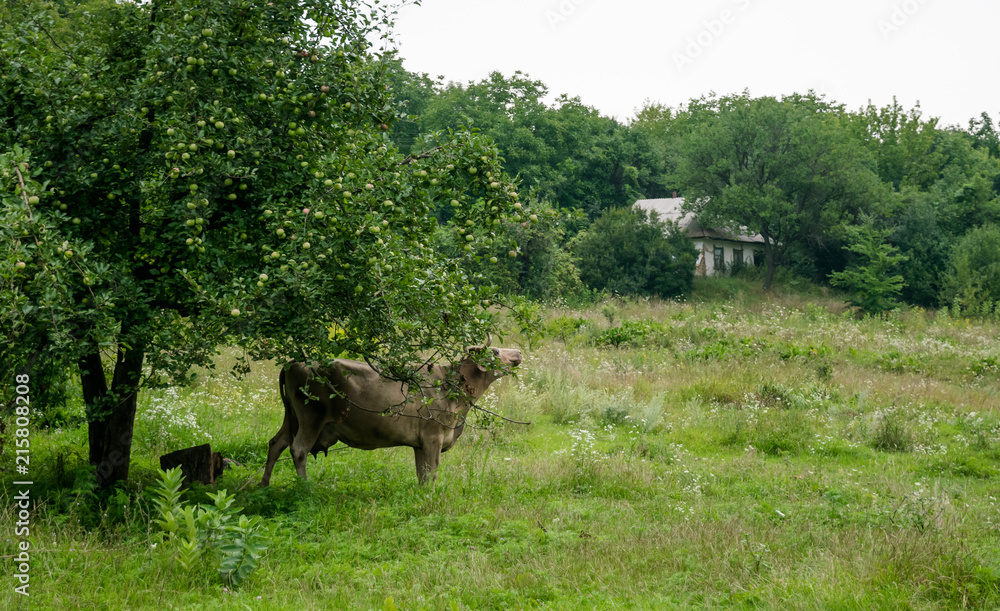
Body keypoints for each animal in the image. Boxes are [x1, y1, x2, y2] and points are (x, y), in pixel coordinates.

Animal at [260, 337, 522, 486]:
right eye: (495, 352)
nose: (518, 352)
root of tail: (295, 361)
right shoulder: (433, 437)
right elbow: (431, 473)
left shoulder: (420, 443)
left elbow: (421, 474)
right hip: (310, 417)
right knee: (298, 449)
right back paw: (305, 487)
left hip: (292, 417)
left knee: (276, 443)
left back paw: (264, 485)